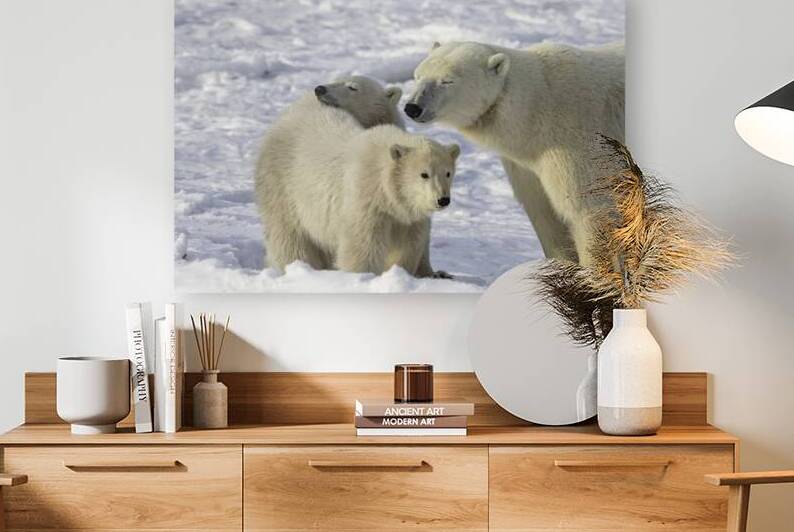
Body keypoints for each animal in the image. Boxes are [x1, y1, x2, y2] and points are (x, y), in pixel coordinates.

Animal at [405, 41, 625, 265]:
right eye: (418, 75)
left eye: (447, 80)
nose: (412, 107)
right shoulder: (527, 165)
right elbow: (544, 214)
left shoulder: (578, 142)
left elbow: (588, 208)